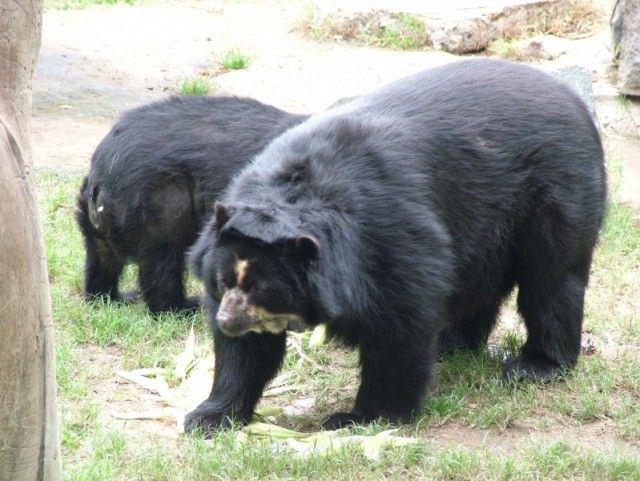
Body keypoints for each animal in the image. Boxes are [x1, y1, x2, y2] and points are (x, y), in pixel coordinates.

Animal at [77, 95, 308, 314]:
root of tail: (105, 163)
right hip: (161, 199)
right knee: (163, 259)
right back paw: (182, 307)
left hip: (98, 214)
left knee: (101, 257)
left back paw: (112, 297)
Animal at [184, 58, 604, 434]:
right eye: (223, 282)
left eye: (261, 288)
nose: (227, 321)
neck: (298, 192)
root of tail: (570, 96)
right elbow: (247, 354)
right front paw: (208, 418)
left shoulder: (390, 241)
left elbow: (399, 324)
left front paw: (361, 418)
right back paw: (451, 344)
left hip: (556, 193)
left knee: (552, 280)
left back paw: (536, 366)